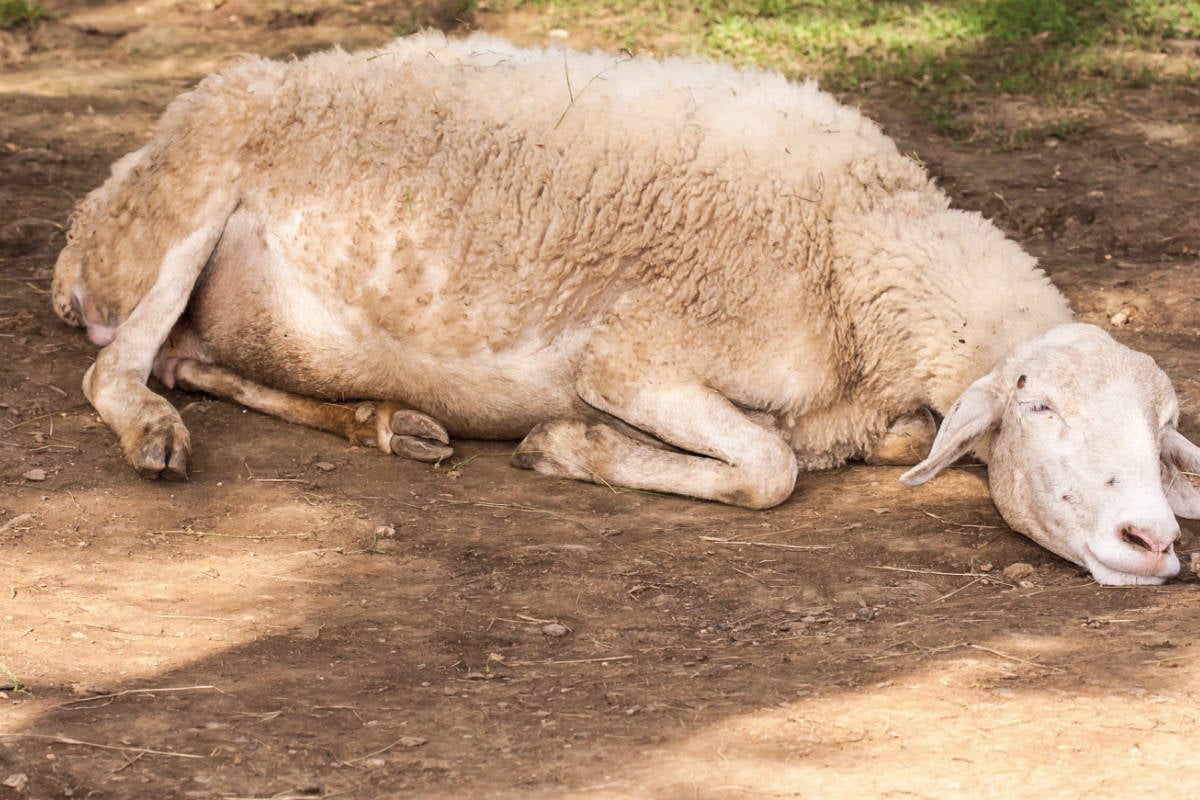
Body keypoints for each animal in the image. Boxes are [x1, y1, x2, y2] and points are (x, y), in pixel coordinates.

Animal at [49, 31, 1200, 585]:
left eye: (1162, 433)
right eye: (1039, 408)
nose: (1151, 539)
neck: (857, 240)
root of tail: (89, 221)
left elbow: (850, 445)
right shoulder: (634, 356)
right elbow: (770, 470)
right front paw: (570, 447)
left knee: (192, 359)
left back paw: (389, 421)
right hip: (189, 196)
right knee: (117, 370)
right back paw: (155, 432)